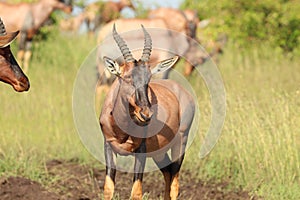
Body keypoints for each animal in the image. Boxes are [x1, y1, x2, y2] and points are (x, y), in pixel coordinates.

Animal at [99, 24, 196, 200]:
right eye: (127, 77)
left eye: (149, 77)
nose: (146, 114)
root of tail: (183, 92)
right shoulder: (108, 146)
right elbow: (108, 189)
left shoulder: (141, 150)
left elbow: (136, 192)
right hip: (159, 152)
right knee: (168, 173)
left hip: (181, 140)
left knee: (175, 182)